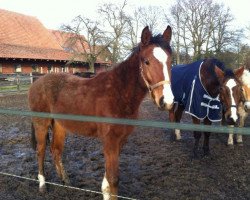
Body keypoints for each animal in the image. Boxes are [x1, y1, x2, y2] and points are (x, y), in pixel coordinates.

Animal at [28, 25, 174, 199]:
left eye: (170, 62)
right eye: (147, 61)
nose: (166, 101)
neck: (118, 93)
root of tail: (36, 82)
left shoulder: (120, 140)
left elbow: (108, 178)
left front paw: (104, 191)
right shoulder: (110, 140)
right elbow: (114, 179)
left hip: (59, 126)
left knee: (56, 150)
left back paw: (65, 181)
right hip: (41, 125)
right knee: (41, 151)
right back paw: (42, 185)